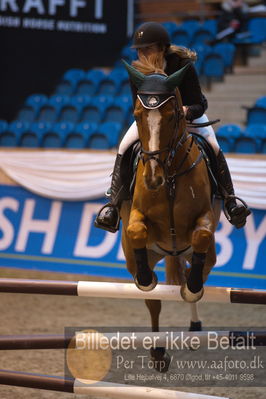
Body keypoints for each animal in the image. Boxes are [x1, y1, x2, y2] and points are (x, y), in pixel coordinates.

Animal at [119, 59, 221, 372]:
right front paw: (146, 278)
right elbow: (136, 230)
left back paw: (194, 321)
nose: (153, 179)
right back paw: (157, 350)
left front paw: (192, 289)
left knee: (197, 267)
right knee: (153, 300)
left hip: (199, 253)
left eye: (172, 115)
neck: (171, 177)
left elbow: (201, 235)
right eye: (137, 114)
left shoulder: (204, 219)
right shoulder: (137, 217)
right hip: (139, 257)